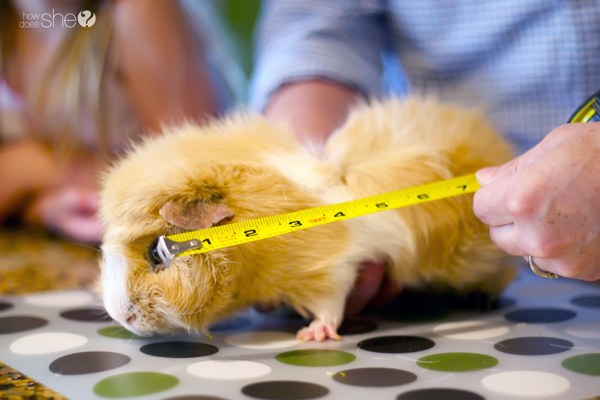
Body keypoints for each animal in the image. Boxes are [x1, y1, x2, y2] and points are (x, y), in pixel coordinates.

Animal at [99, 97, 515, 341]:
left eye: (156, 254)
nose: (119, 315)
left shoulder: (336, 268)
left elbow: (331, 303)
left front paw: (312, 335)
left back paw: (484, 302)